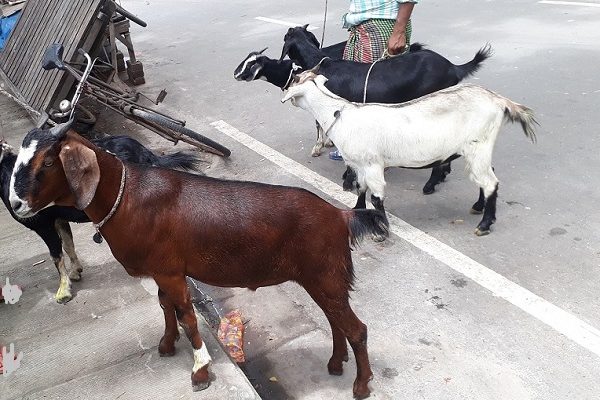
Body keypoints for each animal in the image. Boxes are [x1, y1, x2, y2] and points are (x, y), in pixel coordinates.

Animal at [0, 132, 202, 304]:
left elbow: (56, 255)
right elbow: (68, 244)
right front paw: (76, 271)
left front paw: (63, 292)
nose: (17, 203)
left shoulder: (43, 224)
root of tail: (147, 154)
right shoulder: (58, 218)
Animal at [282, 72, 540, 234]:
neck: (341, 113)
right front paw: (357, 211)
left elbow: (377, 196)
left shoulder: (373, 164)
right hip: (476, 150)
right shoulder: (362, 165)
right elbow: (361, 188)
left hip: (479, 144)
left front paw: (381, 230)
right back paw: (478, 206)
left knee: (490, 182)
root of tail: (499, 100)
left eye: (295, 79)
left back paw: (485, 225)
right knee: (487, 177)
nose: (284, 92)